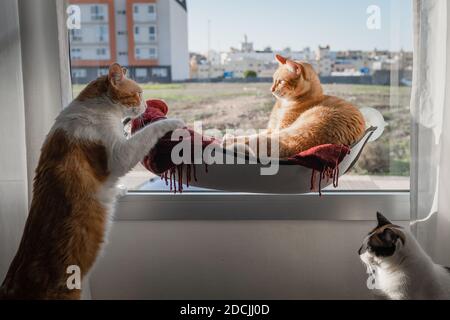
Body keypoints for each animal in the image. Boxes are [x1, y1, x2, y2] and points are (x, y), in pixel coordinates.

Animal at [0, 63, 185, 300]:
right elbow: (147, 132)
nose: (145, 104)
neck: (97, 109)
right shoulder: (121, 154)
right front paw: (174, 121)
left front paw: (120, 189)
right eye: (138, 93)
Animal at [223, 55, 368, 159]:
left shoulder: (276, 129)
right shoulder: (270, 129)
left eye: (281, 81)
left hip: (288, 132)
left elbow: (250, 136)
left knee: (248, 141)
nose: (271, 89)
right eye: (273, 79)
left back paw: (227, 141)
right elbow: (253, 133)